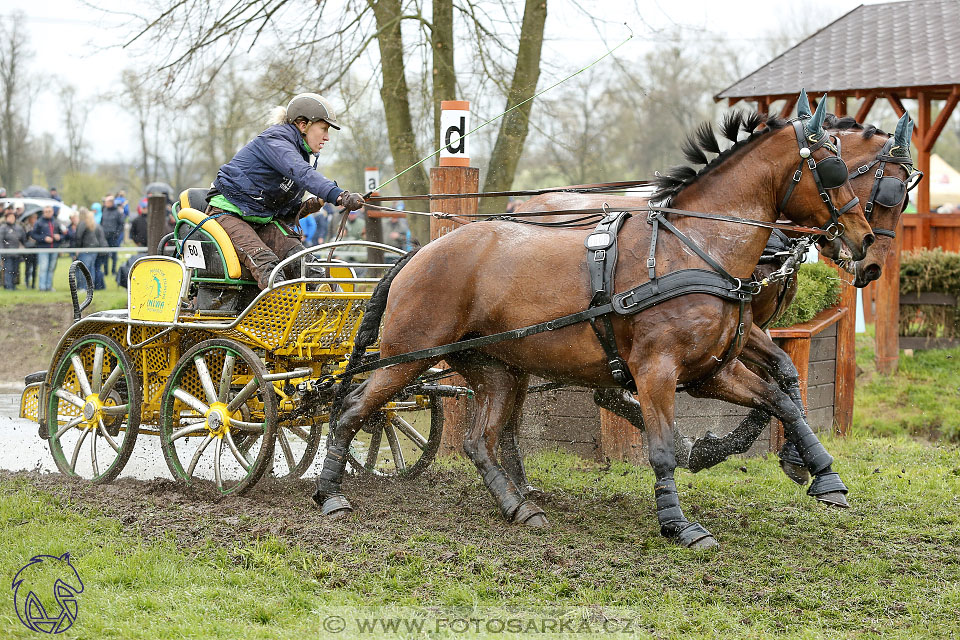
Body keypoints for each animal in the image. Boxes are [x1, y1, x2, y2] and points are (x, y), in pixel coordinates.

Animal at [316, 96, 876, 552]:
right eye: (833, 169)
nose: (866, 241)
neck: (695, 250)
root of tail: (419, 252)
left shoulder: (711, 371)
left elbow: (782, 398)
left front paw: (824, 475)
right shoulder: (656, 371)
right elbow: (662, 448)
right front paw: (678, 524)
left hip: (496, 369)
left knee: (479, 440)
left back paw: (519, 506)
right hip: (406, 359)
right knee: (351, 410)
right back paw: (329, 494)